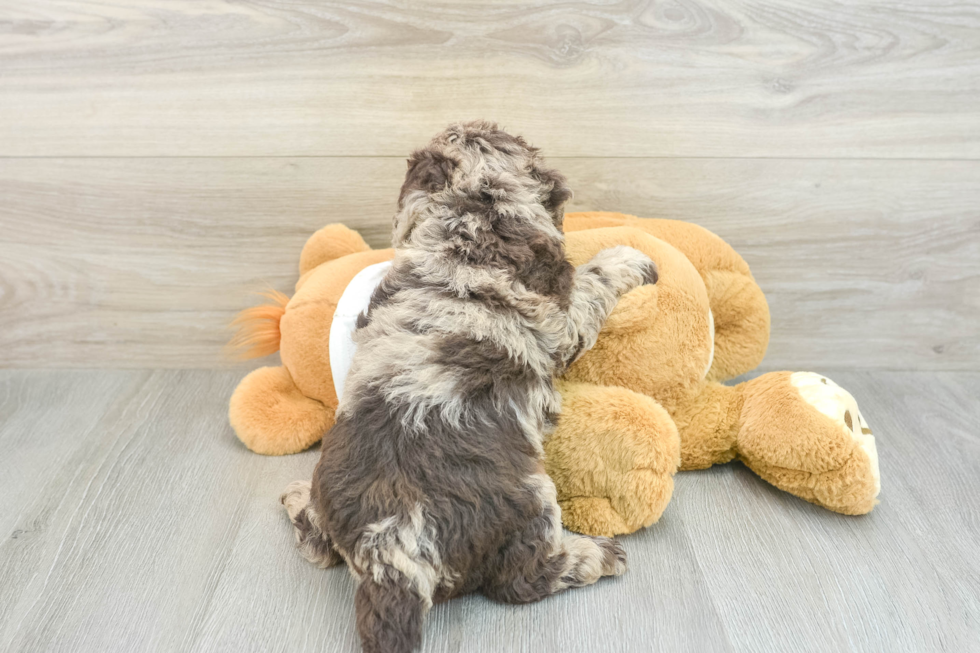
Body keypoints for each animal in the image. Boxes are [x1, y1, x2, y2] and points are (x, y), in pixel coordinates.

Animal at [280, 121, 656, 652]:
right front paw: (629, 258)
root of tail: (391, 547)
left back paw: (296, 500)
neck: (467, 229)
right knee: (523, 579)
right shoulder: (565, 318)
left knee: (319, 546)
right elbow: (594, 280)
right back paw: (597, 557)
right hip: (531, 503)